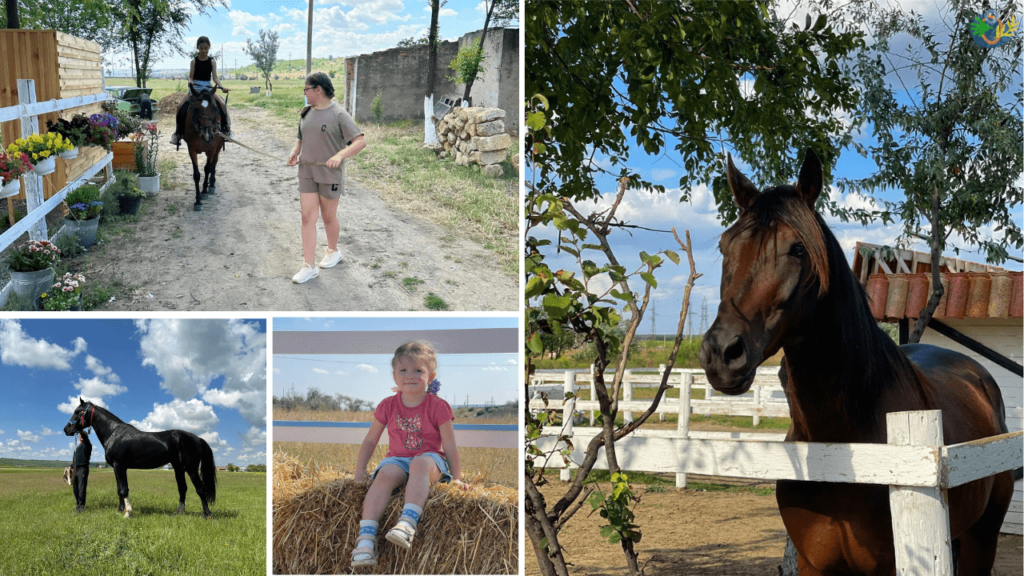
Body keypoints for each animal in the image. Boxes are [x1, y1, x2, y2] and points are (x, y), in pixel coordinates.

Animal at [62, 399, 217, 516]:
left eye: (78, 411)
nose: (66, 429)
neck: (113, 433)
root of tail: (197, 438)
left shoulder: (120, 466)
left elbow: (124, 489)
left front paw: (128, 512)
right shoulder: (116, 468)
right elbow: (119, 489)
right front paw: (121, 510)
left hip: (191, 469)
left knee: (200, 489)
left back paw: (207, 514)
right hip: (178, 468)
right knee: (182, 488)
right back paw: (179, 512)